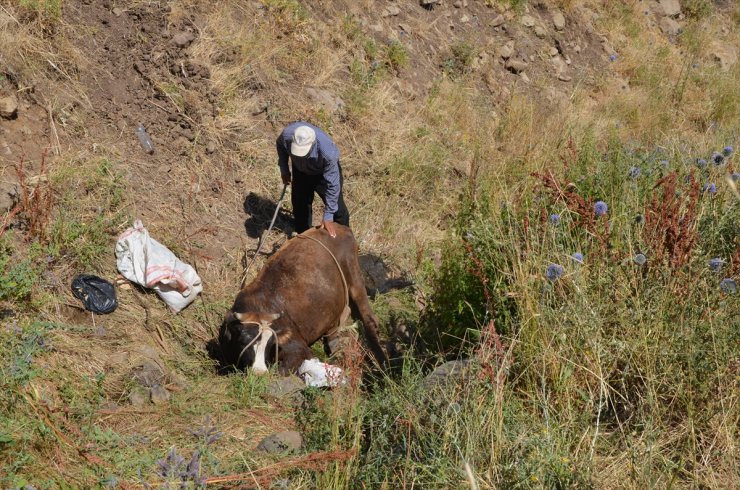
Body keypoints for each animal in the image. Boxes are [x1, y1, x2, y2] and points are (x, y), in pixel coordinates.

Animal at [221, 224, 388, 374]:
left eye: (270, 344)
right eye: (244, 341)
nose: (259, 372)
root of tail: (340, 227)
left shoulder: (299, 349)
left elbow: (280, 371)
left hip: (354, 274)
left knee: (369, 317)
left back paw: (383, 363)